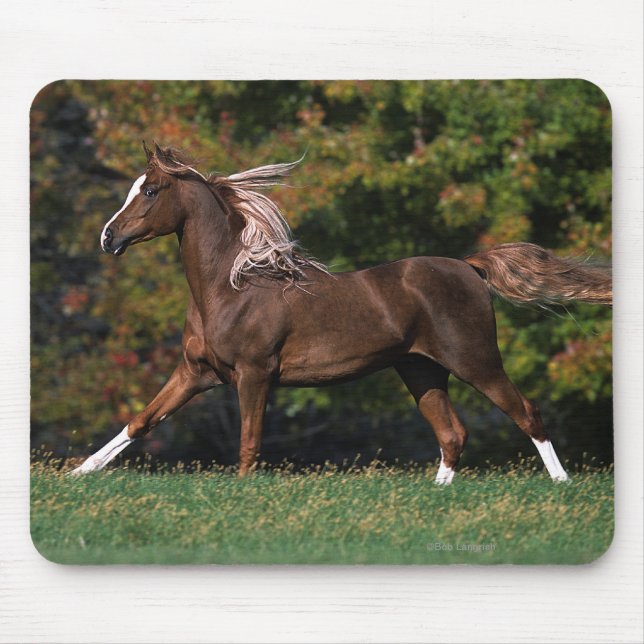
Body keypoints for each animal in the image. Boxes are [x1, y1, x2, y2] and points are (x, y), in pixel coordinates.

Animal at [71, 143, 612, 484]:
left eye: (150, 191)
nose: (107, 238)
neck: (230, 287)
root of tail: (468, 266)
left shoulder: (254, 375)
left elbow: (249, 443)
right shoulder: (196, 374)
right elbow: (140, 422)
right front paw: (76, 474)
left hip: (475, 361)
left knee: (527, 414)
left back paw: (562, 485)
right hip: (420, 369)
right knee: (452, 434)